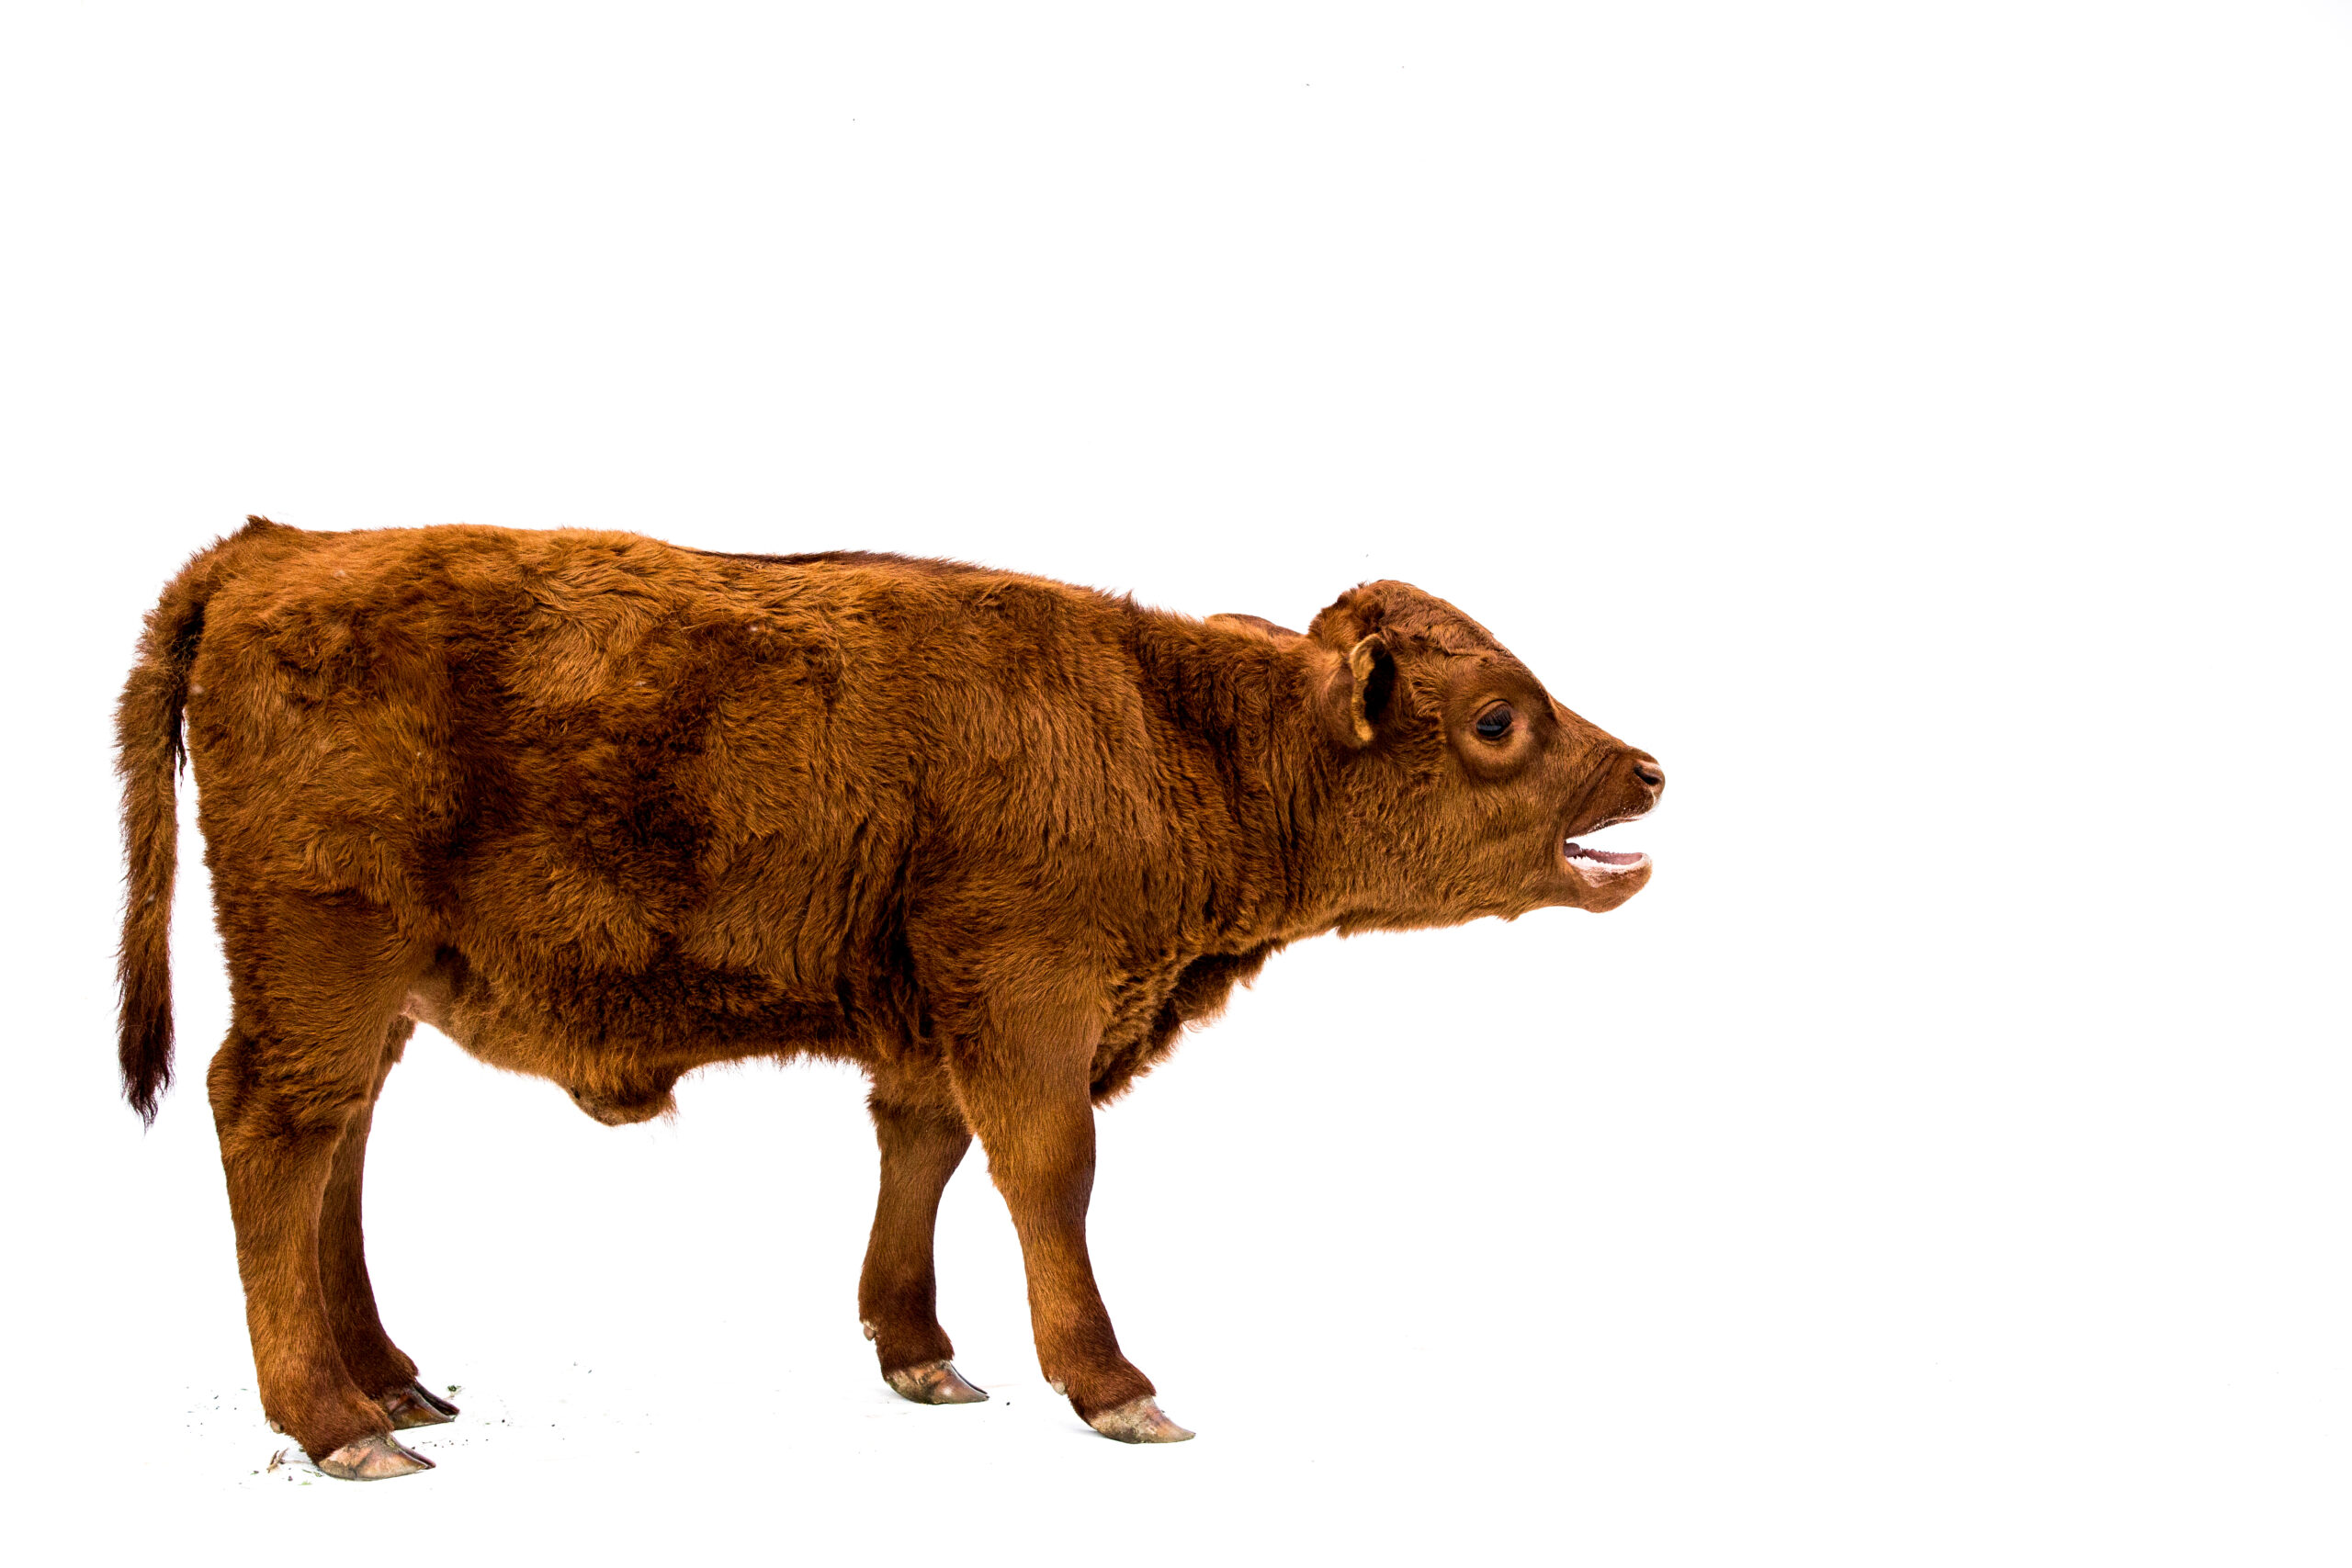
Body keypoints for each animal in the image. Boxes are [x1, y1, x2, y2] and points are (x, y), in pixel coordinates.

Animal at [116, 517, 1664, 1479]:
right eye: (1497, 720)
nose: (1647, 768)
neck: (1178, 726)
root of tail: (274, 550)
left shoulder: (939, 1021)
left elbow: (925, 1147)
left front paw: (922, 1355)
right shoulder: (1028, 998)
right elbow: (1048, 1169)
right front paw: (1115, 1386)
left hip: (375, 987)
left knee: (339, 1143)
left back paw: (390, 1378)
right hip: (321, 958)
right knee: (275, 1124)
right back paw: (337, 1422)